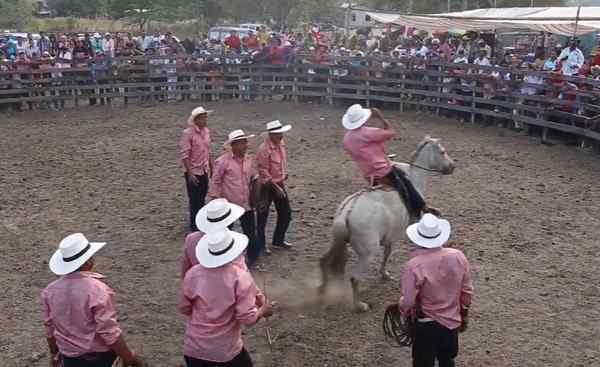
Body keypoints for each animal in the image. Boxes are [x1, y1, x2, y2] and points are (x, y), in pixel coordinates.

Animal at [318, 137, 454, 312]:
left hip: (336, 242)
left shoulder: (389, 237)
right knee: (355, 278)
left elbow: (387, 253)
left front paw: (384, 274)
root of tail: (346, 213)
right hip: (367, 254)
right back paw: (360, 305)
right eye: (442, 152)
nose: (452, 166)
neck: (414, 178)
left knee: (324, 261)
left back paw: (322, 290)